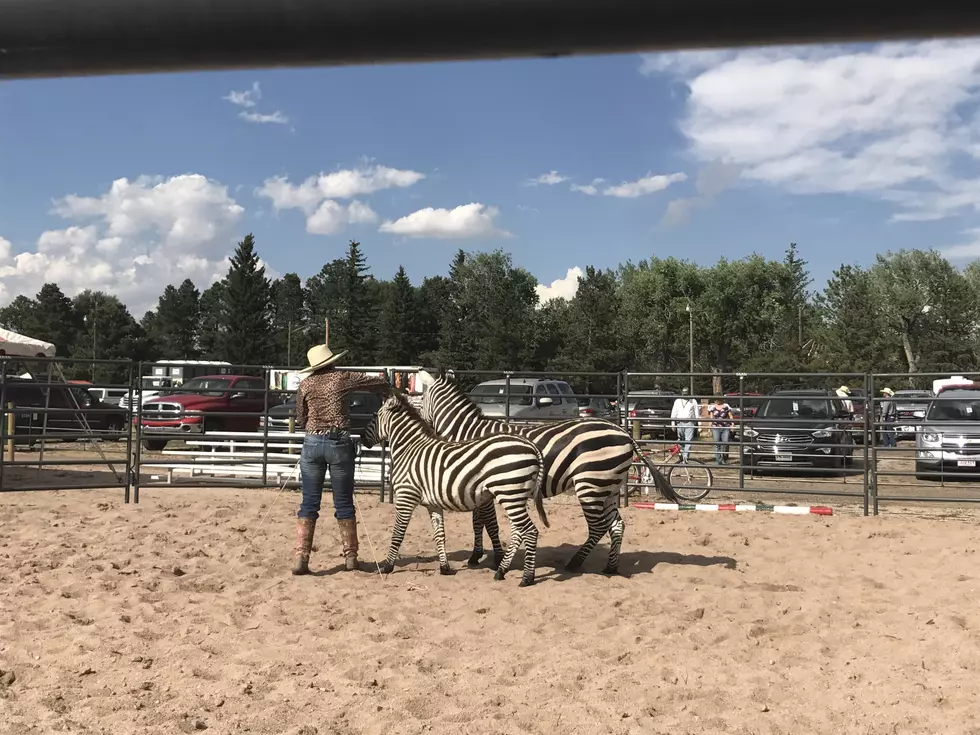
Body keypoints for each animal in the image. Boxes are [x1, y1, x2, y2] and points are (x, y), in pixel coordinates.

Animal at [360, 394, 552, 588]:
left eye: (375, 416)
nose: (361, 439)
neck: (409, 449)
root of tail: (531, 446)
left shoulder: (406, 496)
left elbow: (398, 533)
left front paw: (387, 566)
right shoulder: (432, 504)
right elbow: (439, 535)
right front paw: (445, 568)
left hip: (509, 493)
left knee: (530, 531)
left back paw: (527, 578)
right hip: (516, 496)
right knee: (518, 531)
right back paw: (501, 571)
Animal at [418, 376, 684, 576]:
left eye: (419, 397)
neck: (469, 433)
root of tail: (624, 432)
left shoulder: (484, 488)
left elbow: (487, 524)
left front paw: (492, 559)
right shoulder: (479, 489)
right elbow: (479, 522)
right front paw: (479, 556)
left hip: (591, 483)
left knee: (598, 527)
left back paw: (575, 563)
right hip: (608, 485)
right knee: (616, 524)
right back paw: (610, 567)